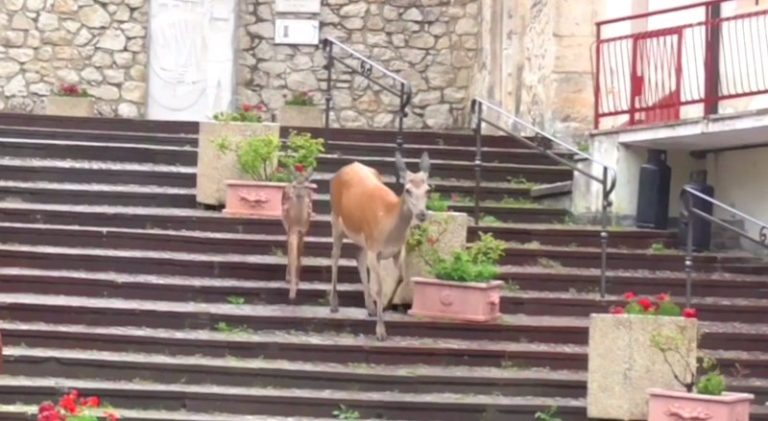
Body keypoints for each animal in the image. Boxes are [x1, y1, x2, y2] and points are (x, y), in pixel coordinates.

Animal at [280, 168, 314, 302]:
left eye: (306, 182)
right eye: (295, 186)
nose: (298, 193)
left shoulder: (302, 231)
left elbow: (298, 255)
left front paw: (297, 283)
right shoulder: (292, 229)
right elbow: (292, 255)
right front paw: (292, 290)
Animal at [328, 152, 428, 342]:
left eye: (428, 189)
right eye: (407, 189)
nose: (422, 214)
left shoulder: (397, 250)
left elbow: (402, 278)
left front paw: (386, 306)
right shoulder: (374, 250)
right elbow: (380, 287)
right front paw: (381, 331)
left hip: (363, 240)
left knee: (358, 258)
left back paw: (370, 308)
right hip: (336, 219)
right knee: (335, 256)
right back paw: (334, 304)